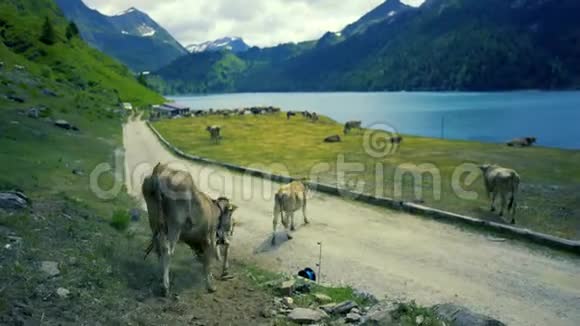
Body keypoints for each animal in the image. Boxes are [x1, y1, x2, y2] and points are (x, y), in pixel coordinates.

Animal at [143, 162, 238, 296]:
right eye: (230, 216)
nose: (232, 229)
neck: (215, 211)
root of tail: (158, 170)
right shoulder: (209, 239)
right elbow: (208, 263)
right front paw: (211, 286)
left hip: (154, 220)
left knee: (158, 248)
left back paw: (160, 277)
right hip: (174, 225)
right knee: (166, 249)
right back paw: (165, 287)